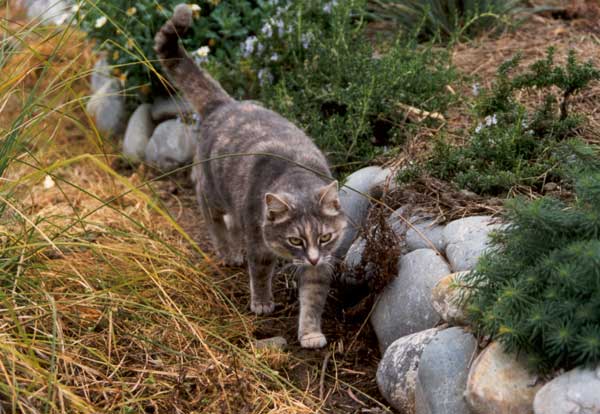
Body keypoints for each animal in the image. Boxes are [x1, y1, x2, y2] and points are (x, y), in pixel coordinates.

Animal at [156, 4, 346, 348]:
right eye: (295, 240)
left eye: (325, 237)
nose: (311, 258)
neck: (295, 172)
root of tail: (224, 105)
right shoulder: (259, 242)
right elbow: (259, 271)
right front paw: (262, 302)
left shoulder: (323, 263)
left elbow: (313, 298)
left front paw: (310, 333)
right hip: (212, 191)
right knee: (214, 218)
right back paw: (229, 251)